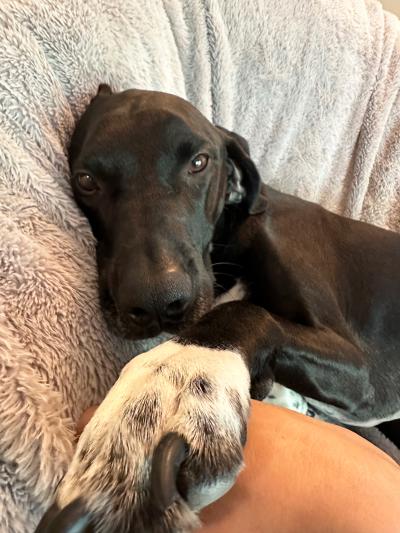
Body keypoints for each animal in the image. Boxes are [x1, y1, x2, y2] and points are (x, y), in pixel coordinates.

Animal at [36, 84, 398, 532]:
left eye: (199, 162)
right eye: (86, 181)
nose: (158, 302)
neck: (230, 241)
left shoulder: (371, 381)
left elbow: (239, 313)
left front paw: (167, 388)